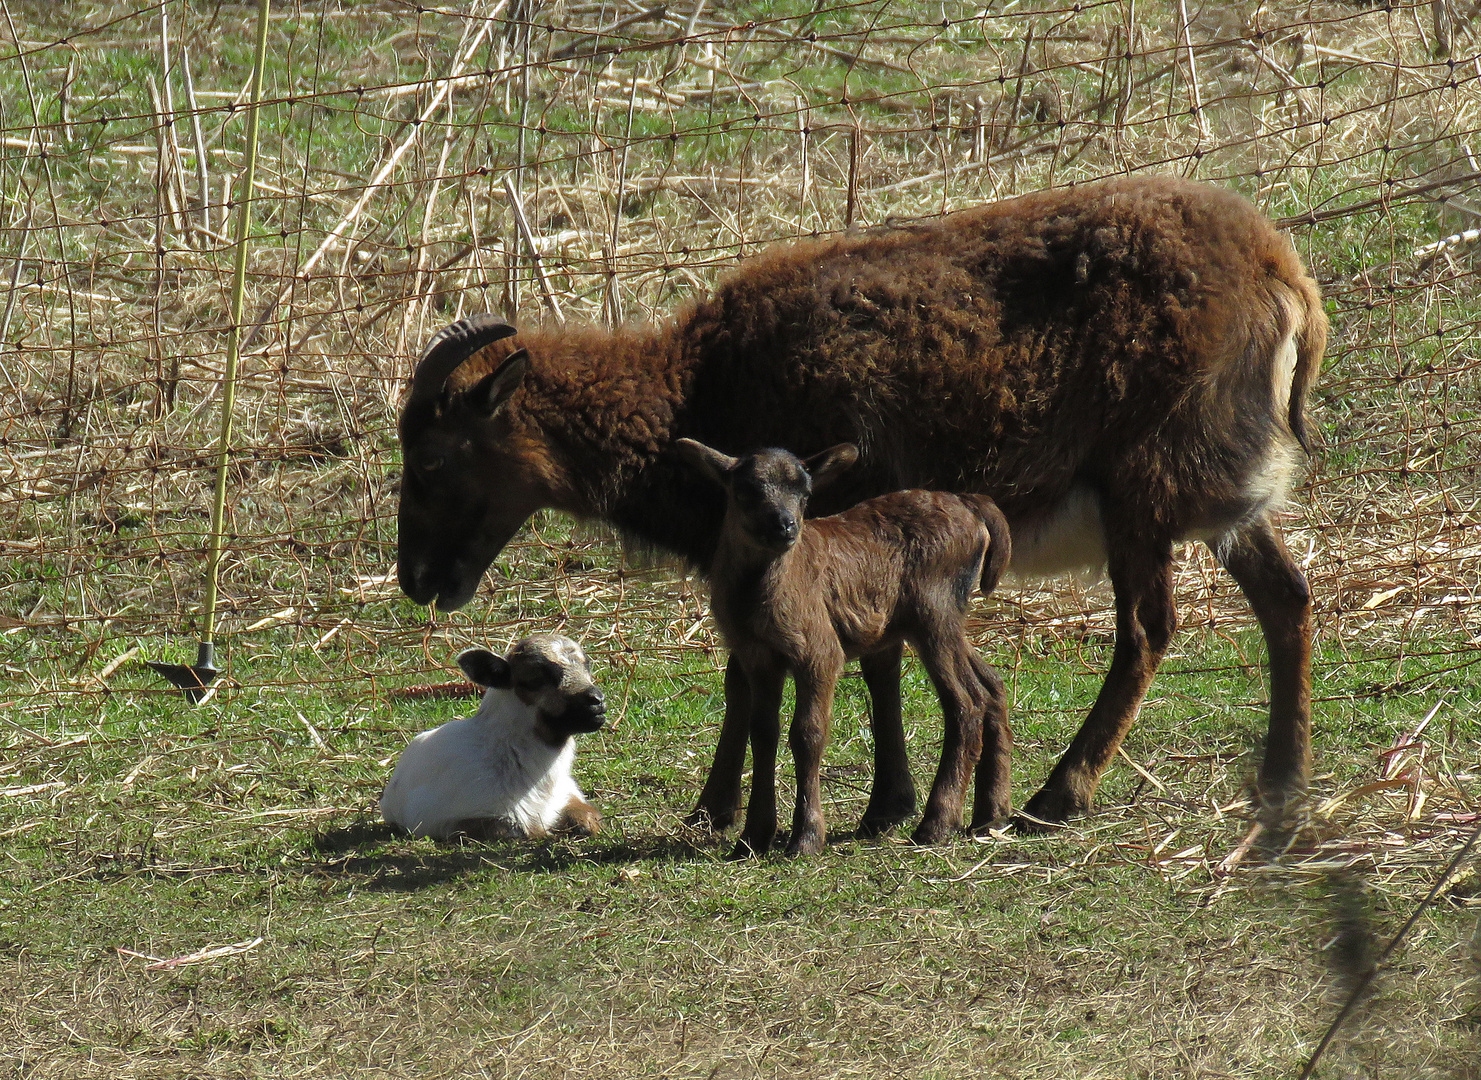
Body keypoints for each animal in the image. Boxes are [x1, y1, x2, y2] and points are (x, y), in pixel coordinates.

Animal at [385, 631, 610, 841]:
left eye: (587, 665)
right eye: (536, 678)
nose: (596, 700)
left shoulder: (569, 794)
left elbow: (589, 819)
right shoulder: (443, 819)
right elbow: (514, 830)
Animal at [675, 435, 1013, 853]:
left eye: (805, 494)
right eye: (745, 491)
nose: (785, 526)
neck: (758, 594)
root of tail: (971, 505)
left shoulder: (818, 650)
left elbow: (807, 734)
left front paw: (806, 837)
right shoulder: (758, 656)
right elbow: (764, 734)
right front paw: (753, 837)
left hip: (934, 611)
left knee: (966, 703)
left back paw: (937, 822)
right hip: (944, 619)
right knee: (991, 684)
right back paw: (991, 814)